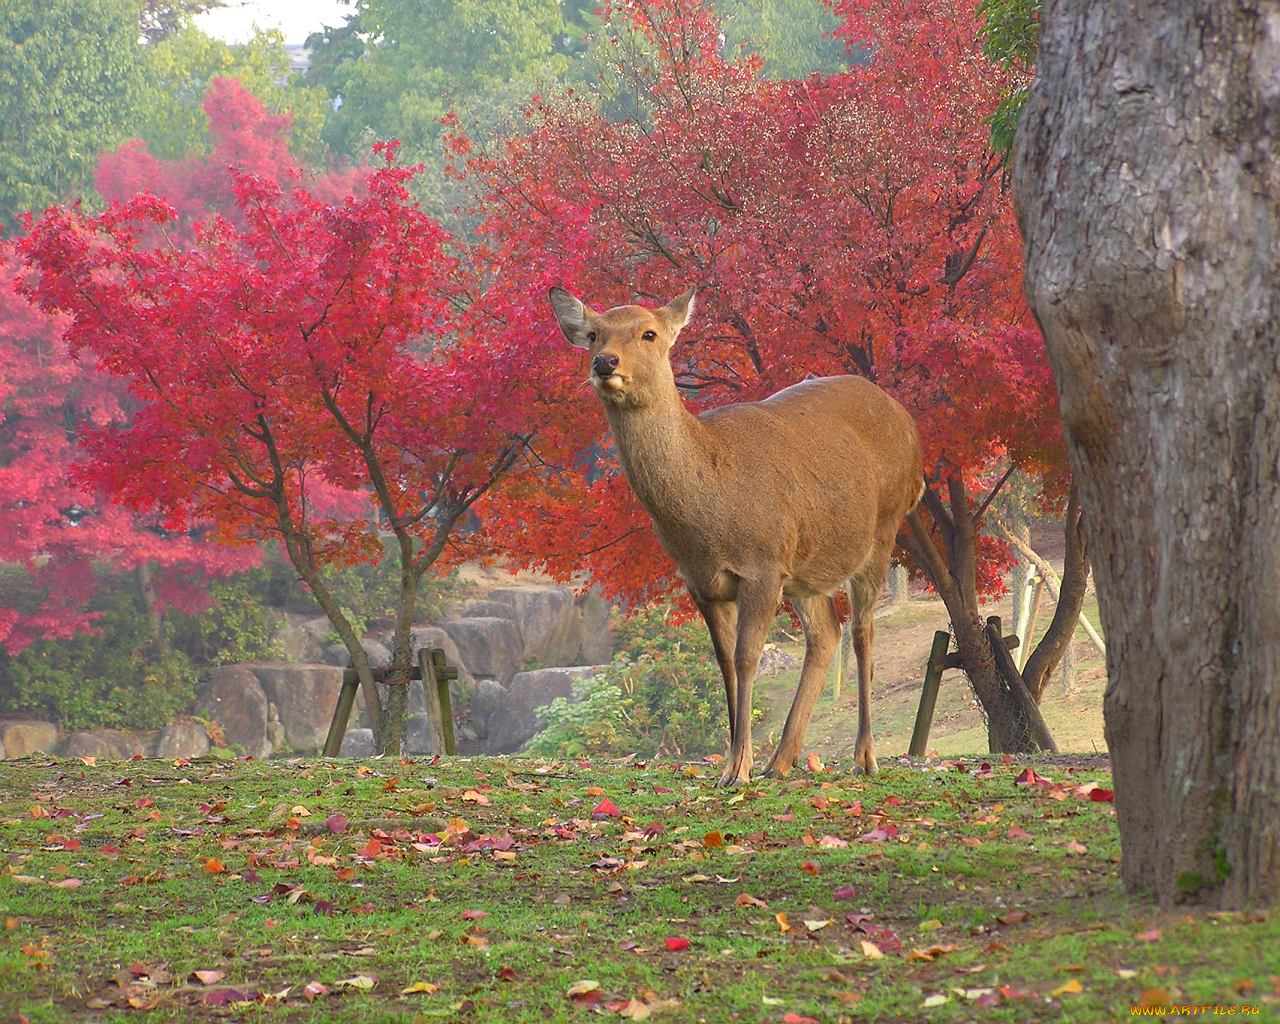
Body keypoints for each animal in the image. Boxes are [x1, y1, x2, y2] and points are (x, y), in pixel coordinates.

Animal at [547, 284, 921, 788]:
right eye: (592, 334)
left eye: (649, 333)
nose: (605, 362)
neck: (711, 510)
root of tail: (911, 428)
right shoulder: (700, 581)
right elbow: (723, 663)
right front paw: (731, 764)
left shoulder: (762, 565)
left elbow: (747, 659)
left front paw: (738, 769)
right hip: (805, 569)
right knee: (827, 632)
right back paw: (780, 760)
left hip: (882, 529)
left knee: (863, 631)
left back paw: (865, 756)